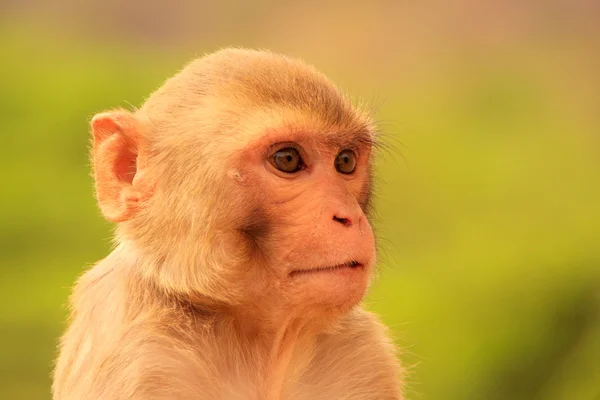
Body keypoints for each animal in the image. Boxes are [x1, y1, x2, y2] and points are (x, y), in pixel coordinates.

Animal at [52, 48, 404, 398]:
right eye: (287, 159)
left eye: (345, 161)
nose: (348, 216)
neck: (258, 347)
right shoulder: (140, 354)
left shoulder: (363, 353)